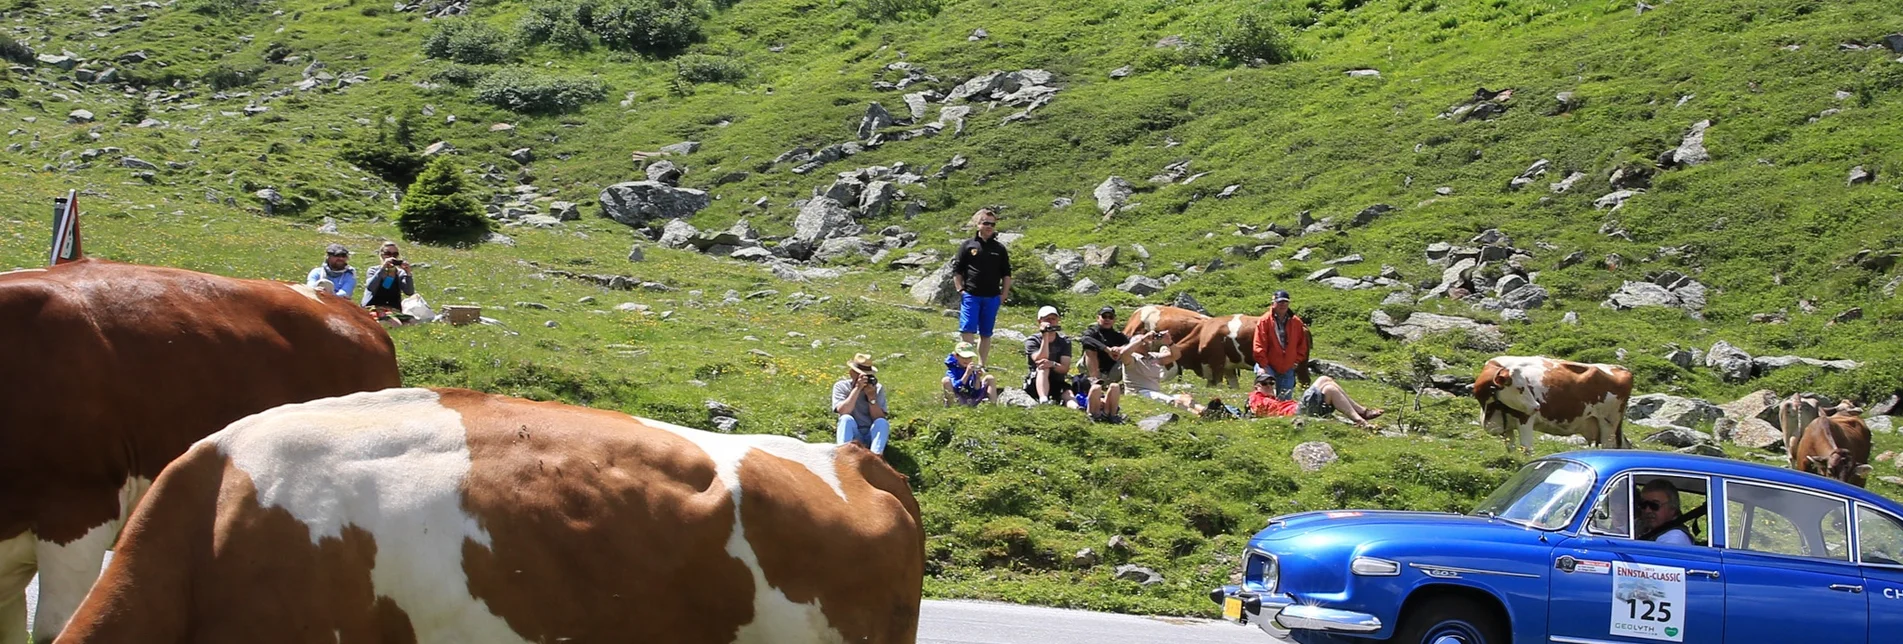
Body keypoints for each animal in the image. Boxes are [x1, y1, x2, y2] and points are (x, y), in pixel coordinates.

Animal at [1469, 354, 1636, 455]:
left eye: (1526, 385)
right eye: (1519, 387)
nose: (1537, 407)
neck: (1489, 410)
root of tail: (1620, 368)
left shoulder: (1525, 419)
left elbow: (1526, 449)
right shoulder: (1505, 426)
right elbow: (1511, 448)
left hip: (1608, 424)